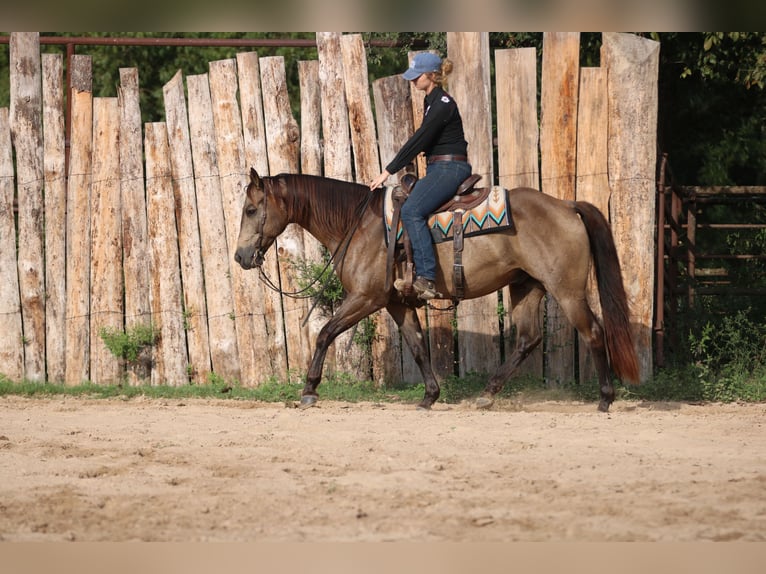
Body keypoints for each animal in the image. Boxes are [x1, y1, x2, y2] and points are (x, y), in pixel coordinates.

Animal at [235, 168, 639, 412]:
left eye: (252, 209)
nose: (240, 256)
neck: (358, 224)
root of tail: (567, 205)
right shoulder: (397, 303)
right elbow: (417, 346)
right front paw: (429, 396)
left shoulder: (366, 298)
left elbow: (324, 333)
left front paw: (309, 390)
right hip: (528, 287)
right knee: (527, 339)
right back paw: (487, 394)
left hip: (567, 291)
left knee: (594, 331)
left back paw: (605, 399)